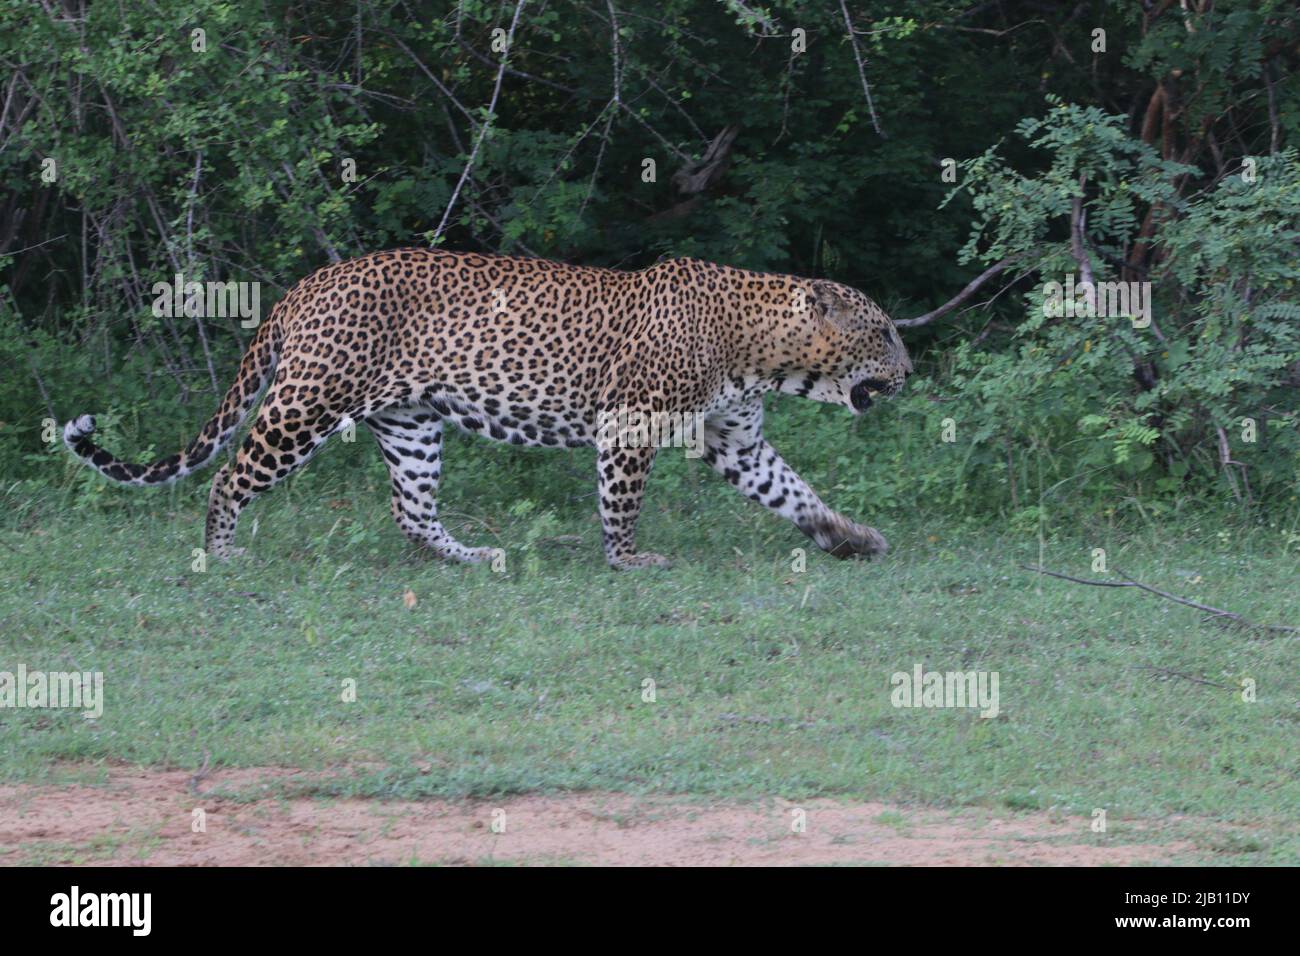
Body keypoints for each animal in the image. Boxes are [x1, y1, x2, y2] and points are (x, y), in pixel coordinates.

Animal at [63, 251, 915, 572]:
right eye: (882, 331)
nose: (911, 371)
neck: (761, 350)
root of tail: (307, 284)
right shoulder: (630, 424)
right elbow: (622, 501)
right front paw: (627, 560)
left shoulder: (735, 439)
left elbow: (795, 493)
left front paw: (851, 537)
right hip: (307, 403)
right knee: (230, 474)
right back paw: (221, 552)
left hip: (411, 424)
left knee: (411, 510)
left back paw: (473, 556)